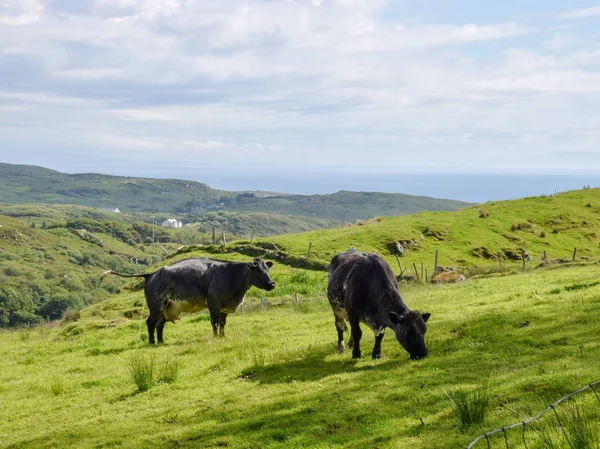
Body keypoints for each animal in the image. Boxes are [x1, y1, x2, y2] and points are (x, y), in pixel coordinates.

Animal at [99, 256, 276, 344]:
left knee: (159, 325)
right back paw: (152, 342)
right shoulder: (213, 304)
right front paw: (215, 337)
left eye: (267, 269)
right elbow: (214, 322)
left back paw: (161, 342)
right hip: (155, 305)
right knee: (150, 323)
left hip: (166, 306)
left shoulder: (224, 306)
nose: (272, 284)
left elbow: (223, 323)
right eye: (258, 270)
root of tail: (151, 273)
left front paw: (222, 336)